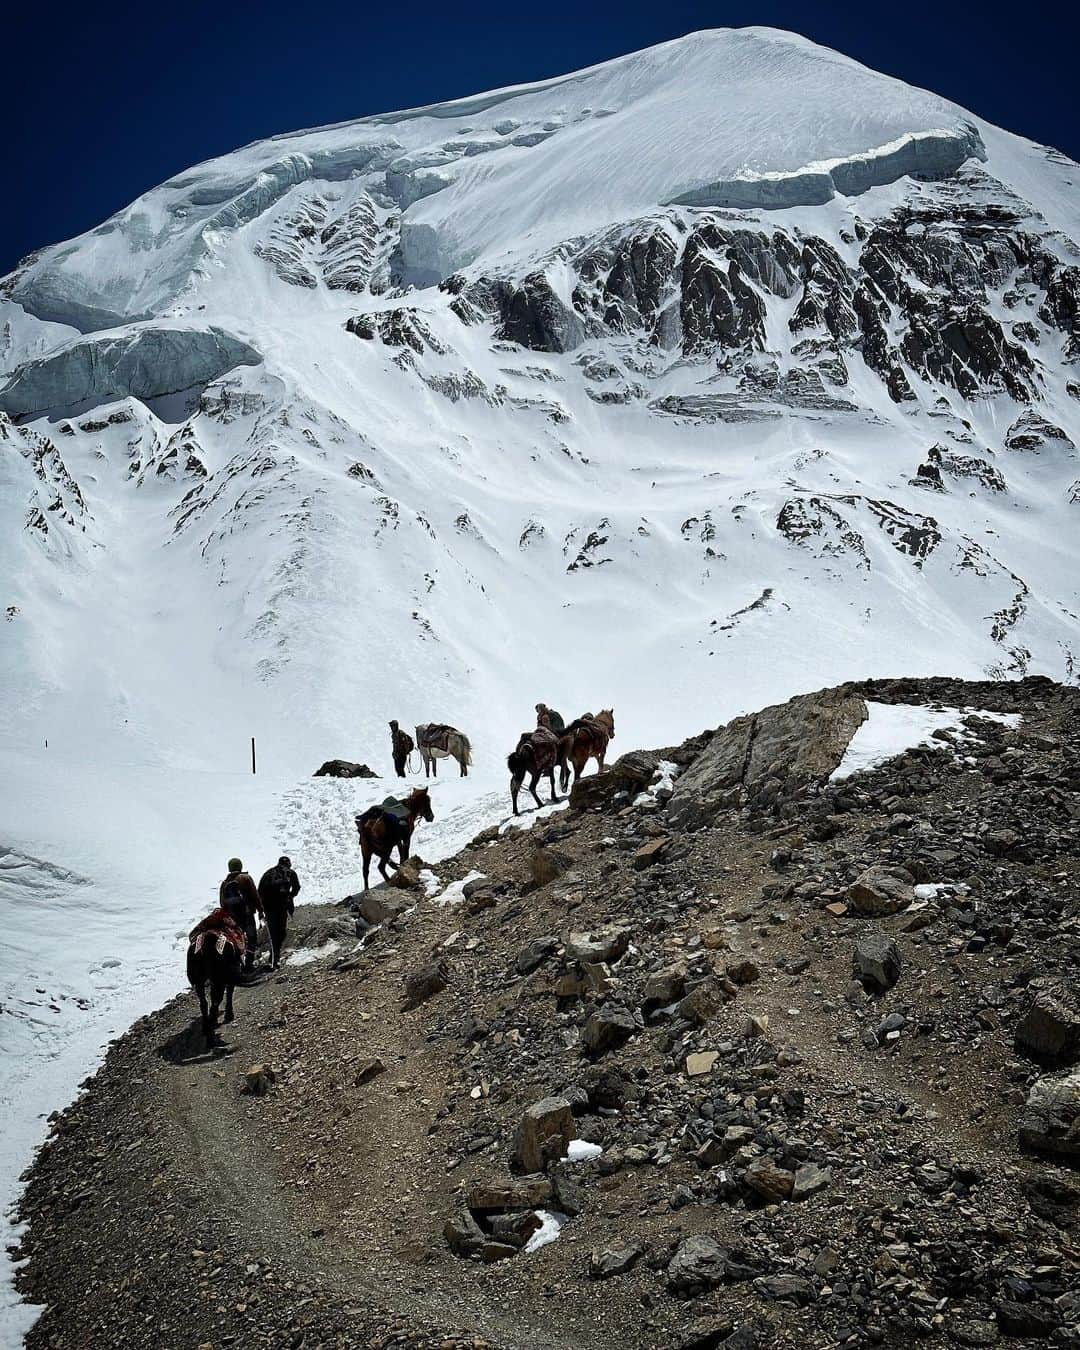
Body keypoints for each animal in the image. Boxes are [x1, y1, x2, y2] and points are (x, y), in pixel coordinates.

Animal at [186, 912, 244, 1047]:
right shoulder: (231, 974)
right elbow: (230, 993)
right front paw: (229, 1015)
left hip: (198, 979)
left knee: (204, 1003)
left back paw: (206, 1028)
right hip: (219, 978)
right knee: (214, 1003)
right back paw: (211, 1039)